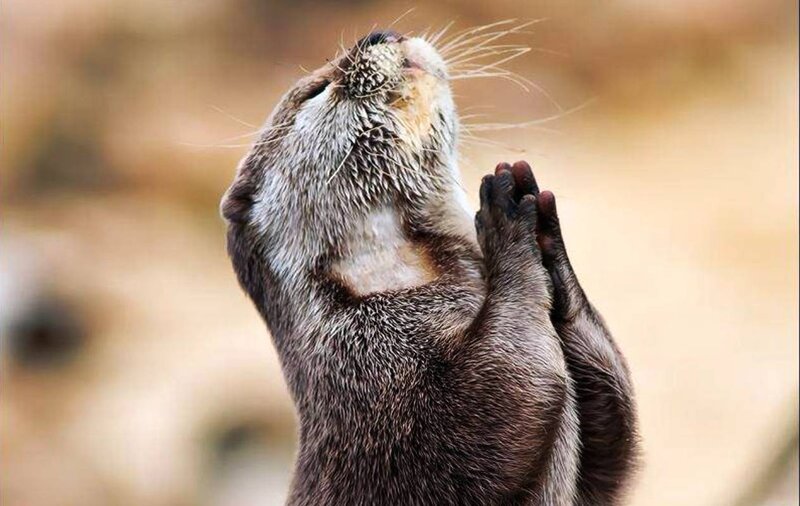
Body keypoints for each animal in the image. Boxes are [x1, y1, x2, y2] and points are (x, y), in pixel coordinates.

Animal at [221, 29, 638, 505]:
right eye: (317, 89)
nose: (379, 34)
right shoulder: (374, 371)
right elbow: (502, 392)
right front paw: (505, 221)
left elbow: (609, 450)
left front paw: (546, 238)